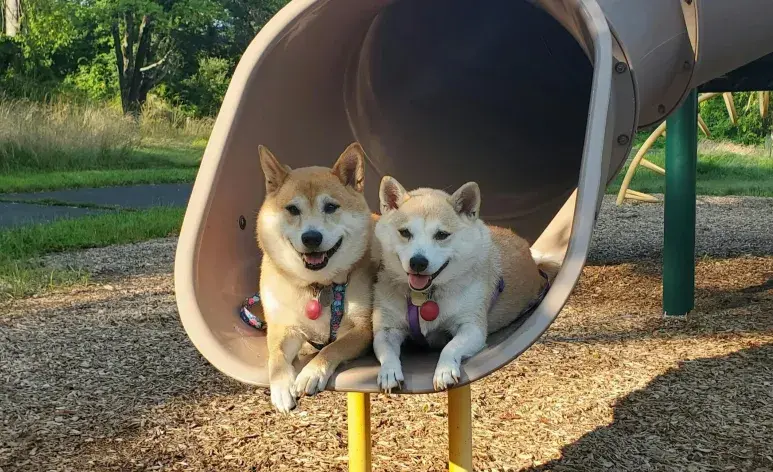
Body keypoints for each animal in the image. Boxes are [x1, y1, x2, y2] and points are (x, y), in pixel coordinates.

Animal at [258, 144, 376, 412]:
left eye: (330, 207)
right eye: (292, 209)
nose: (311, 237)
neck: (319, 285)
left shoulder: (363, 329)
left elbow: (332, 348)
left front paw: (311, 372)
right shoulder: (283, 326)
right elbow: (275, 356)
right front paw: (280, 386)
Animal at [372, 177, 556, 390]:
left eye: (441, 235)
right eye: (405, 232)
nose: (418, 262)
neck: (424, 296)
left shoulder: (471, 327)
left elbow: (450, 347)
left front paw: (444, 371)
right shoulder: (386, 330)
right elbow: (388, 353)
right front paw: (389, 372)